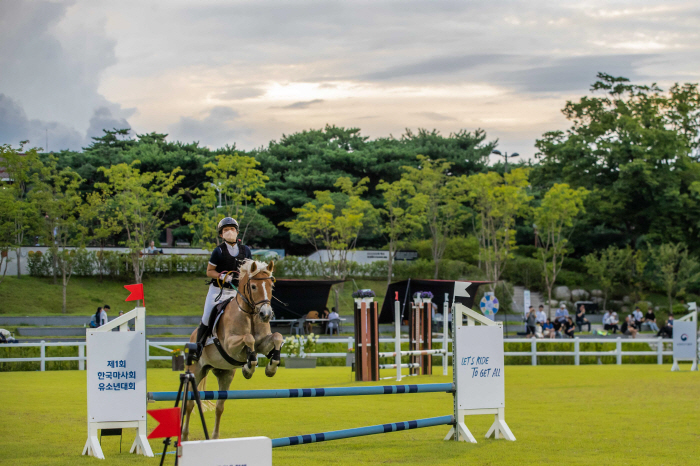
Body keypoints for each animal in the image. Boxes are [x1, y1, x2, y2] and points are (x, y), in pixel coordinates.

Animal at [185, 260, 286, 438]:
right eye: (253, 286)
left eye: (271, 285)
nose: (266, 314)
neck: (250, 313)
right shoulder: (230, 345)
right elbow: (248, 338)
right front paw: (248, 368)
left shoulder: (263, 342)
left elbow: (277, 337)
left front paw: (270, 367)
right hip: (196, 372)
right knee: (190, 404)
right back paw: (184, 436)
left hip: (225, 374)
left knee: (219, 406)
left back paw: (215, 437)